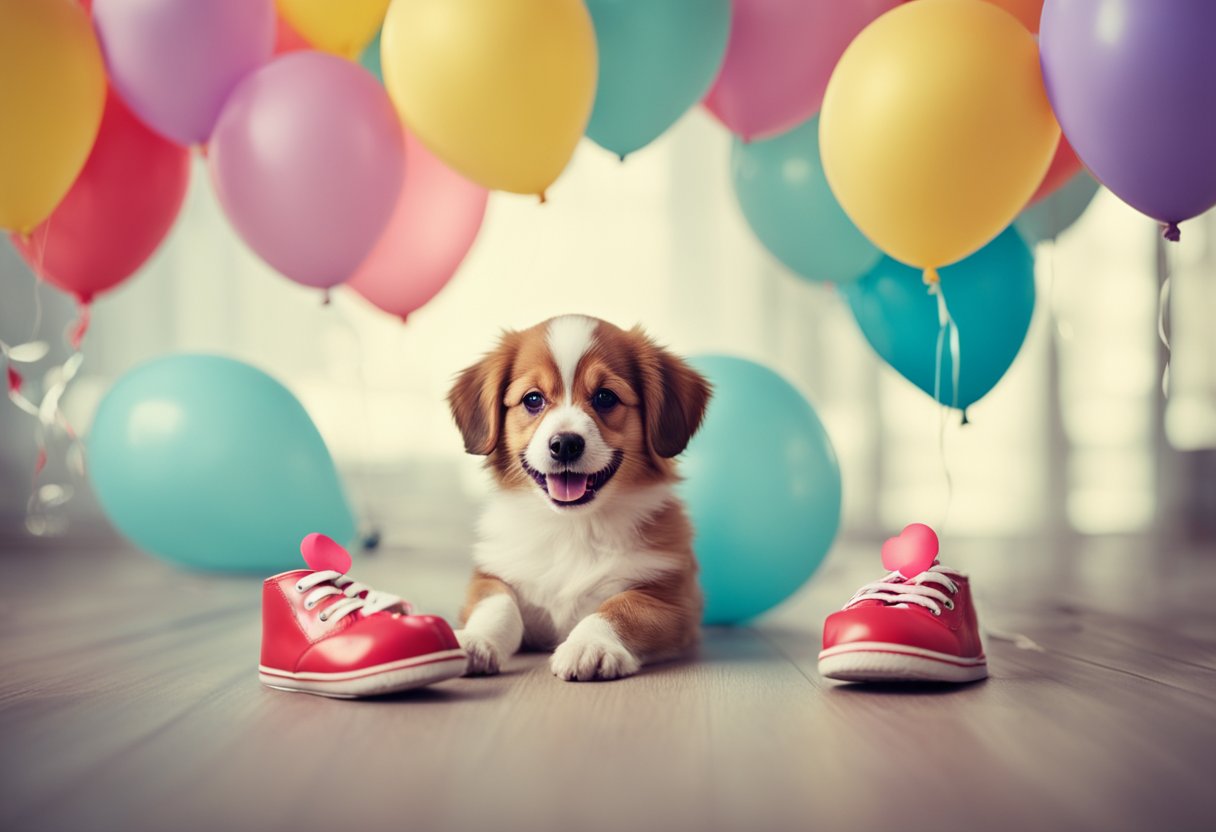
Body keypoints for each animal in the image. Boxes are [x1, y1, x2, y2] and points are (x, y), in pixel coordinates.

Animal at [449, 316, 710, 681]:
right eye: (533, 399)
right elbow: (497, 604)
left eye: (605, 397)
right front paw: (474, 640)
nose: (565, 444)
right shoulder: (491, 575)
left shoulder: (669, 599)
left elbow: (620, 608)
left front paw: (590, 644)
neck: (572, 528)